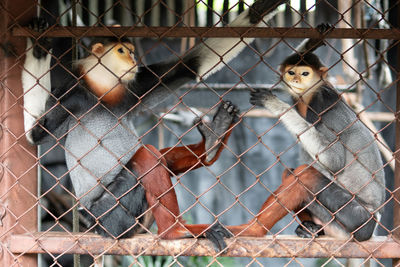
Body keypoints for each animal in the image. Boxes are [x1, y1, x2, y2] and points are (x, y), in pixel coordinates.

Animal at [22, 0, 288, 251]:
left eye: (131, 51)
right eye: (122, 51)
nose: (133, 58)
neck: (101, 88)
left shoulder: (131, 89)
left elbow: (188, 65)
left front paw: (261, 10)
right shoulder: (71, 95)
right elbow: (35, 133)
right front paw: (38, 47)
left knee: (160, 158)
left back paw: (213, 140)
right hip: (109, 217)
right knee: (146, 157)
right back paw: (175, 231)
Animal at [217, 24, 386, 243]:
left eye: (305, 73)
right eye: (291, 72)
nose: (296, 79)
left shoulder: (322, 103)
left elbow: (334, 160)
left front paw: (273, 104)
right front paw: (312, 41)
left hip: (356, 219)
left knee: (306, 175)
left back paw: (252, 230)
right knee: (290, 173)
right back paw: (311, 228)